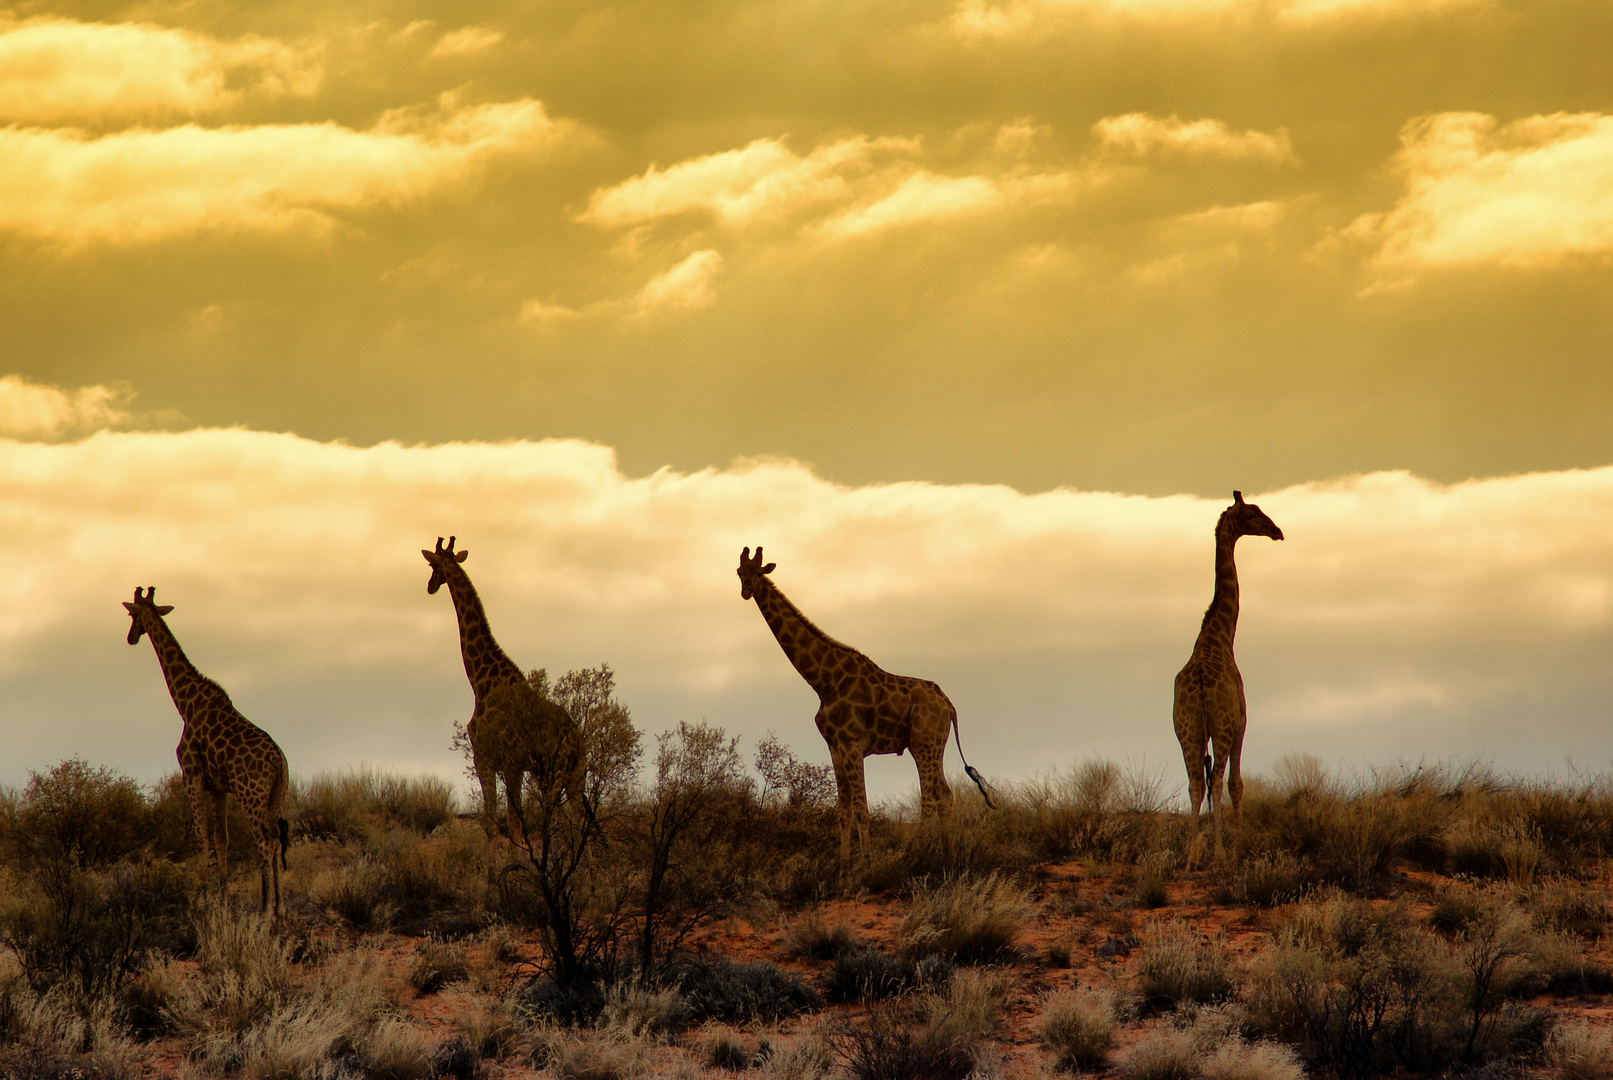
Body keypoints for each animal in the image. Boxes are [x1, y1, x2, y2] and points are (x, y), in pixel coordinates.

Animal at [126, 586, 293, 915]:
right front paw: (223, 895)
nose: (130, 638)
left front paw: (203, 895)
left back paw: (266, 908)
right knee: (277, 838)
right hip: (276, 794)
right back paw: (280, 909)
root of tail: (279, 761)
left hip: (251, 794)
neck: (186, 703)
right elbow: (222, 839)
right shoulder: (218, 787)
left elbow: (202, 838)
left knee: (265, 841)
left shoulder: (191, 775)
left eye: (131, 615)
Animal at [738, 544, 987, 883]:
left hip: (923, 742)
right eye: (740, 572)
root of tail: (949, 705)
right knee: (944, 795)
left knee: (932, 798)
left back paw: (923, 855)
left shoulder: (853, 743)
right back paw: (946, 855)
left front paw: (867, 864)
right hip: (929, 745)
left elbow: (862, 808)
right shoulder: (834, 746)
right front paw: (843, 870)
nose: (746, 591)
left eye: (758, 572)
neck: (822, 681)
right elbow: (843, 809)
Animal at [1174, 490, 1283, 870]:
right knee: (1218, 781)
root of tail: (1201, 684)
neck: (1219, 635)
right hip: (1219, 727)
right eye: (1252, 513)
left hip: (1187, 730)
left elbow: (1205, 784)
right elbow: (1237, 783)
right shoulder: (1242, 721)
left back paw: (1191, 857)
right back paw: (1218, 855)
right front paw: (1236, 846)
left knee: (1196, 783)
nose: (1278, 531)